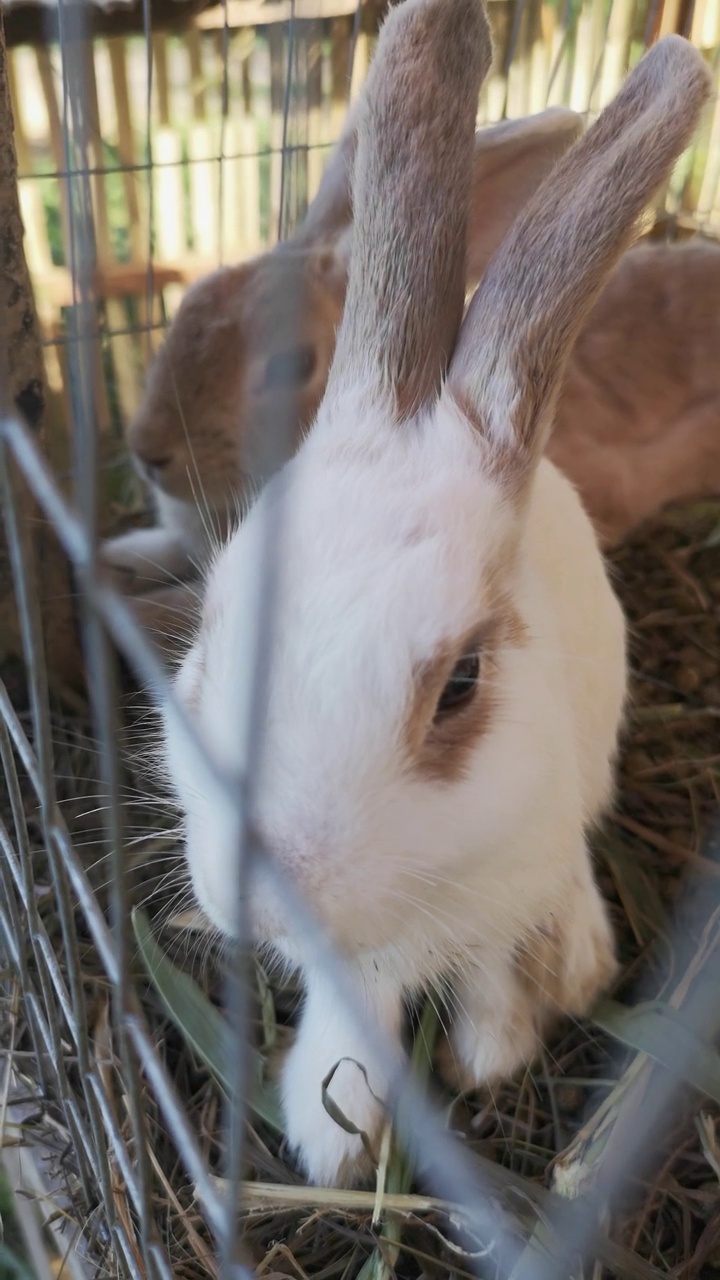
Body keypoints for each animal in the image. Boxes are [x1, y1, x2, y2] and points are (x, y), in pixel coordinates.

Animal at [161, 0, 707, 1182]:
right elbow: (350, 1020)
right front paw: (332, 1137)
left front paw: (489, 1055)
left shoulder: (510, 883)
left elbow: (496, 971)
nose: (270, 896)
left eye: (461, 685)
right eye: (215, 632)